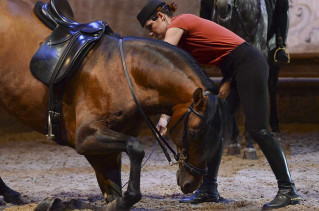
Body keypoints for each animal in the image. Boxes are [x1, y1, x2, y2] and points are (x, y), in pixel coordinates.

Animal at [0, 0, 224, 209]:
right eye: (194, 132)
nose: (191, 183)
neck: (127, 77)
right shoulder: (86, 137)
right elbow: (135, 149)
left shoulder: (106, 151)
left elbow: (113, 191)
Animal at [205, 0, 282, 159]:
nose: (222, 8)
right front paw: (234, 142)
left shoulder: (258, 51)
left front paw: (250, 146)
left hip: (273, 58)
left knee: (272, 86)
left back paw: (276, 131)